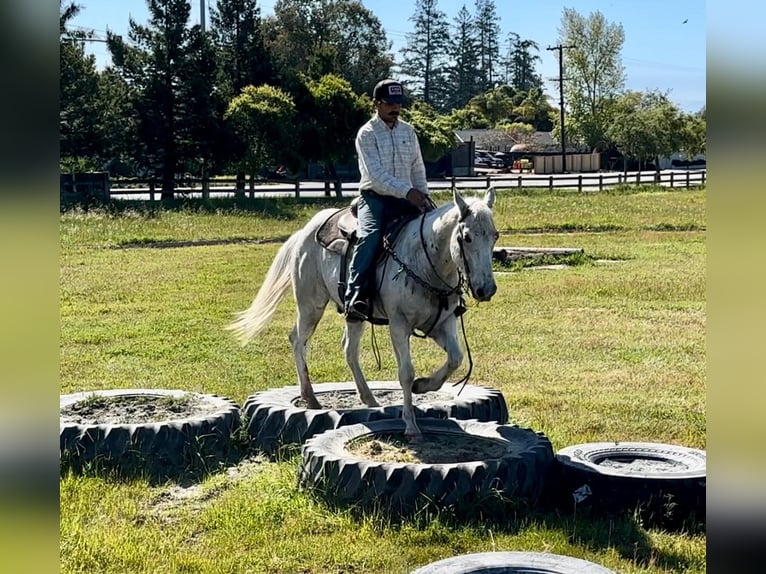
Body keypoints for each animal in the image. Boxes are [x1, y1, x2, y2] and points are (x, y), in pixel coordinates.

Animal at [226, 189, 504, 440]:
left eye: (495, 235)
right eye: (466, 237)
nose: (486, 289)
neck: (425, 261)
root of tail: (304, 232)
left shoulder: (442, 324)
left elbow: (455, 359)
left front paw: (423, 386)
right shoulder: (399, 325)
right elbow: (406, 373)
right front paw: (411, 425)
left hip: (354, 314)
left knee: (349, 349)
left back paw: (369, 398)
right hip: (310, 305)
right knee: (298, 340)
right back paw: (310, 397)